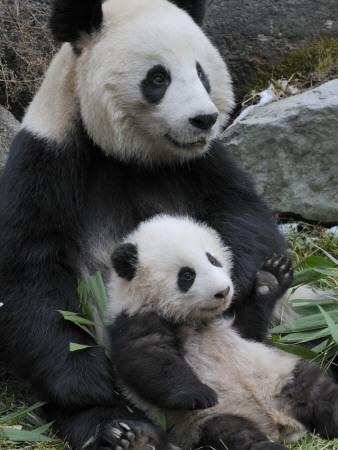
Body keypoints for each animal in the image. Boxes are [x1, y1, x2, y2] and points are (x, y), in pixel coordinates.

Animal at [0, 0, 288, 448]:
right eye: (158, 78)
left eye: (201, 71)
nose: (204, 119)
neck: (128, 153)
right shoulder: (47, 157)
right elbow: (29, 269)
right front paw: (88, 383)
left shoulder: (202, 162)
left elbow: (244, 213)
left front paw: (234, 282)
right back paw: (124, 431)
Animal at [107, 215, 338, 450]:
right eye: (187, 275)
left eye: (213, 260)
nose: (223, 291)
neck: (192, 320)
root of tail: (278, 424)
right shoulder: (134, 318)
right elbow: (149, 359)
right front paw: (199, 394)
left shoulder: (231, 325)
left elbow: (250, 330)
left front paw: (270, 278)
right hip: (209, 421)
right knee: (239, 438)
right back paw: (137, 441)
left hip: (283, 375)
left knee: (319, 393)